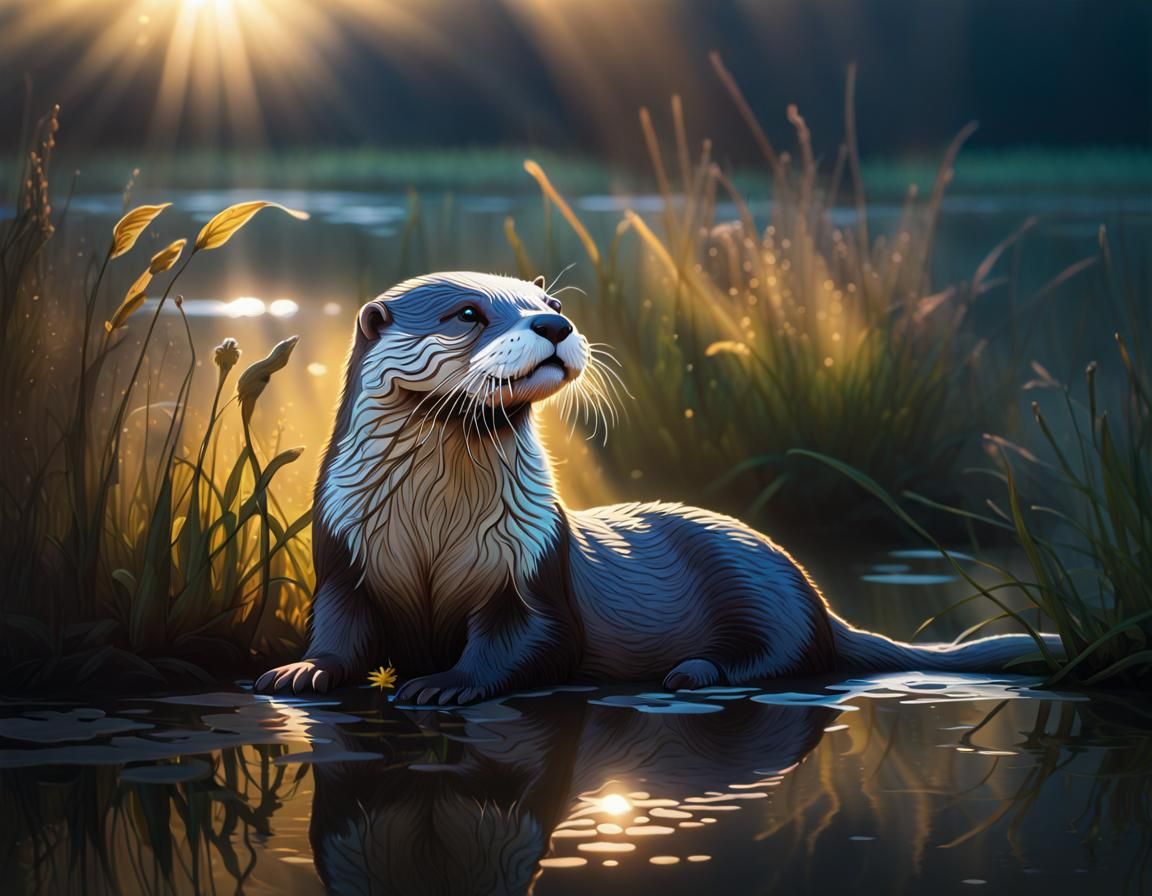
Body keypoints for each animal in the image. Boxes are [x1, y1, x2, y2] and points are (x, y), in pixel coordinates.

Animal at [255, 272, 1059, 704]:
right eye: (469, 313)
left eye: (550, 302)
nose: (554, 325)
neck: (430, 527)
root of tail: (818, 594)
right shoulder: (342, 555)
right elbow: (339, 630)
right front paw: (301, 670)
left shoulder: (531, 567)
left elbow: (531, 641)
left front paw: (448, 681)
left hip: (766, 594)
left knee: (790, 657)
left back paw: (695, 671)